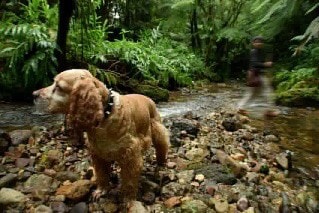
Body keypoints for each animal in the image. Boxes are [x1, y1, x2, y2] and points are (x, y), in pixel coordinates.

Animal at [33, 69, 170, 206]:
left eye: (58, 86)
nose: (33, 94)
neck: (105, 116)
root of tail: (148, 97)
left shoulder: (131, 157)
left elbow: (129, 183)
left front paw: (127, 200)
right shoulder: (98, 154)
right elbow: (102, 174)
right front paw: (101, 190)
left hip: (158, 131)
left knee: (161, 148)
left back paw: (161, 165)